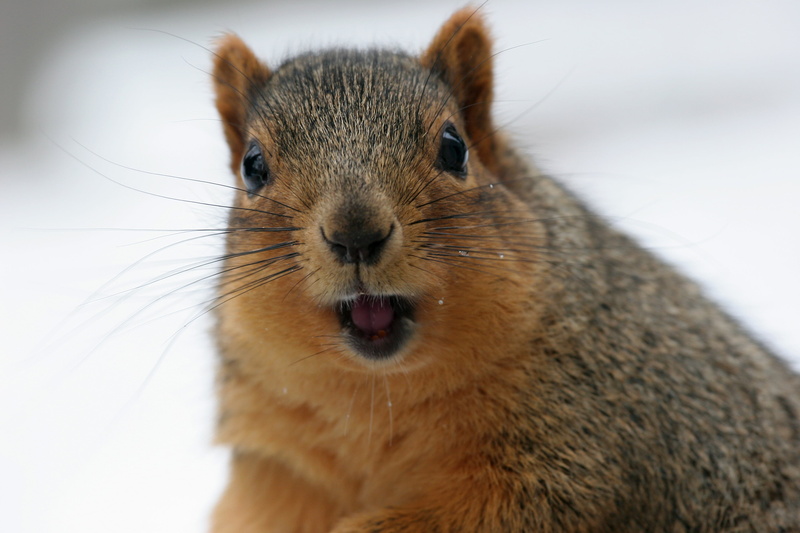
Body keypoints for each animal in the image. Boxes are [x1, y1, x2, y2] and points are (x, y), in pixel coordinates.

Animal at [208, 7, 800, 532]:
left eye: (455, 147)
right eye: (252, 166)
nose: (356, 233)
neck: (375, 396)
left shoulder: (590, 449)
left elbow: (507, 510)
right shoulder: (278, 468)